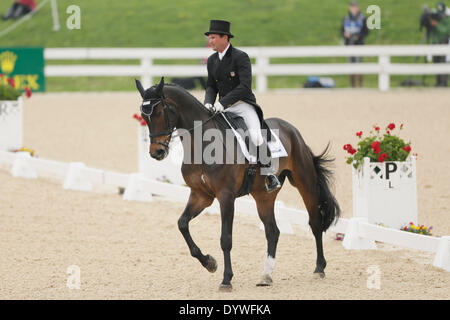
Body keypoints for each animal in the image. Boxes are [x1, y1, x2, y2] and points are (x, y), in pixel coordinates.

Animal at [135, 78, 340, 292]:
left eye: (159, 113)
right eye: (144, 116)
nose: (156, 152)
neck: (203, 144)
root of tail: (292, 129)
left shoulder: (226, 196)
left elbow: (226, 239)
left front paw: (226, 279)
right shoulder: (201, 195)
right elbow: (182, 224)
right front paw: (209, 263)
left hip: (304, 182)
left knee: (315, 222)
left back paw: (319, 268)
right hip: (264, 195)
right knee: (272, 231)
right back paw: (266, 275)